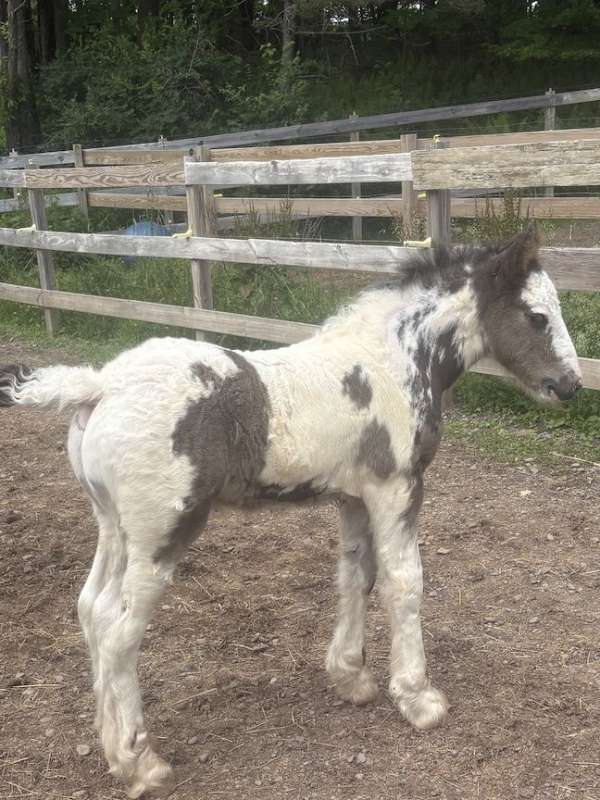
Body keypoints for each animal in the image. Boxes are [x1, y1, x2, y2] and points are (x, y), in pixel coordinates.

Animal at [0, 226, 582, 797]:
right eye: (537, 316)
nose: (572, 386)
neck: (391, 360)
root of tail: (102, 384)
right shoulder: (396, 488)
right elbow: (404, 582)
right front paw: (418, 698)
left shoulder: (355, 496)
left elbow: (356, 576)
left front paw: (352, 678)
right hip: (161, 534)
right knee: (120, 633)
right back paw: (140, 762)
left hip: (113, 528)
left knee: (91, 608)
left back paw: (110, 744)